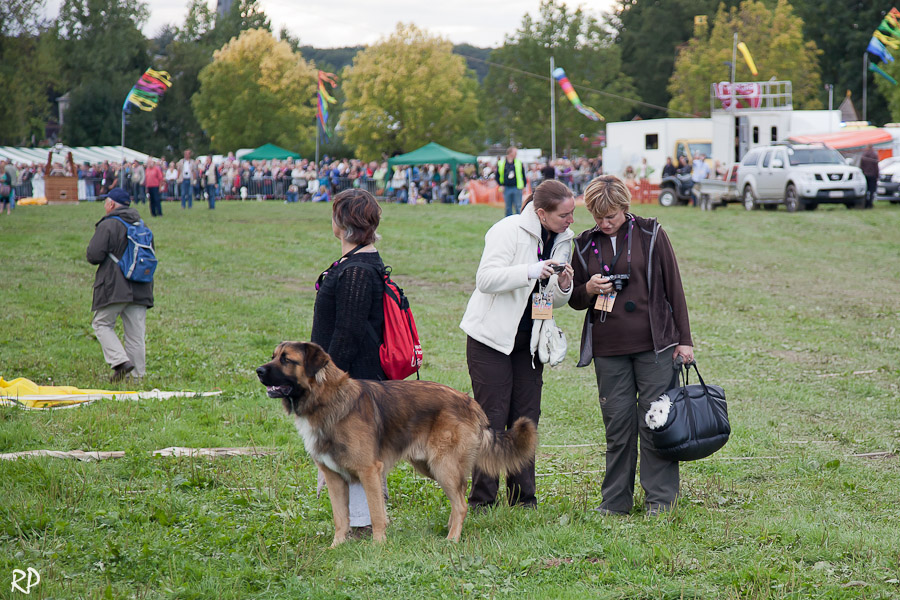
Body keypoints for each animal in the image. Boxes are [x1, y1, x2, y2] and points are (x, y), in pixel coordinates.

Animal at [255, 342, 536, 544]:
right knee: (459, 498)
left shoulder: (369, 472)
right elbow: (340, 518)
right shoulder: (333, 477)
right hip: (431, 466)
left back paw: (452, 538)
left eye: (286, 359)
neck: (326, 399)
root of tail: (470, 402)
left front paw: (378, 546)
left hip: (443, 466)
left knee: (462, 504)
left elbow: (377, 513)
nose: (258, 371)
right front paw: (337, 546)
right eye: (274, 356)